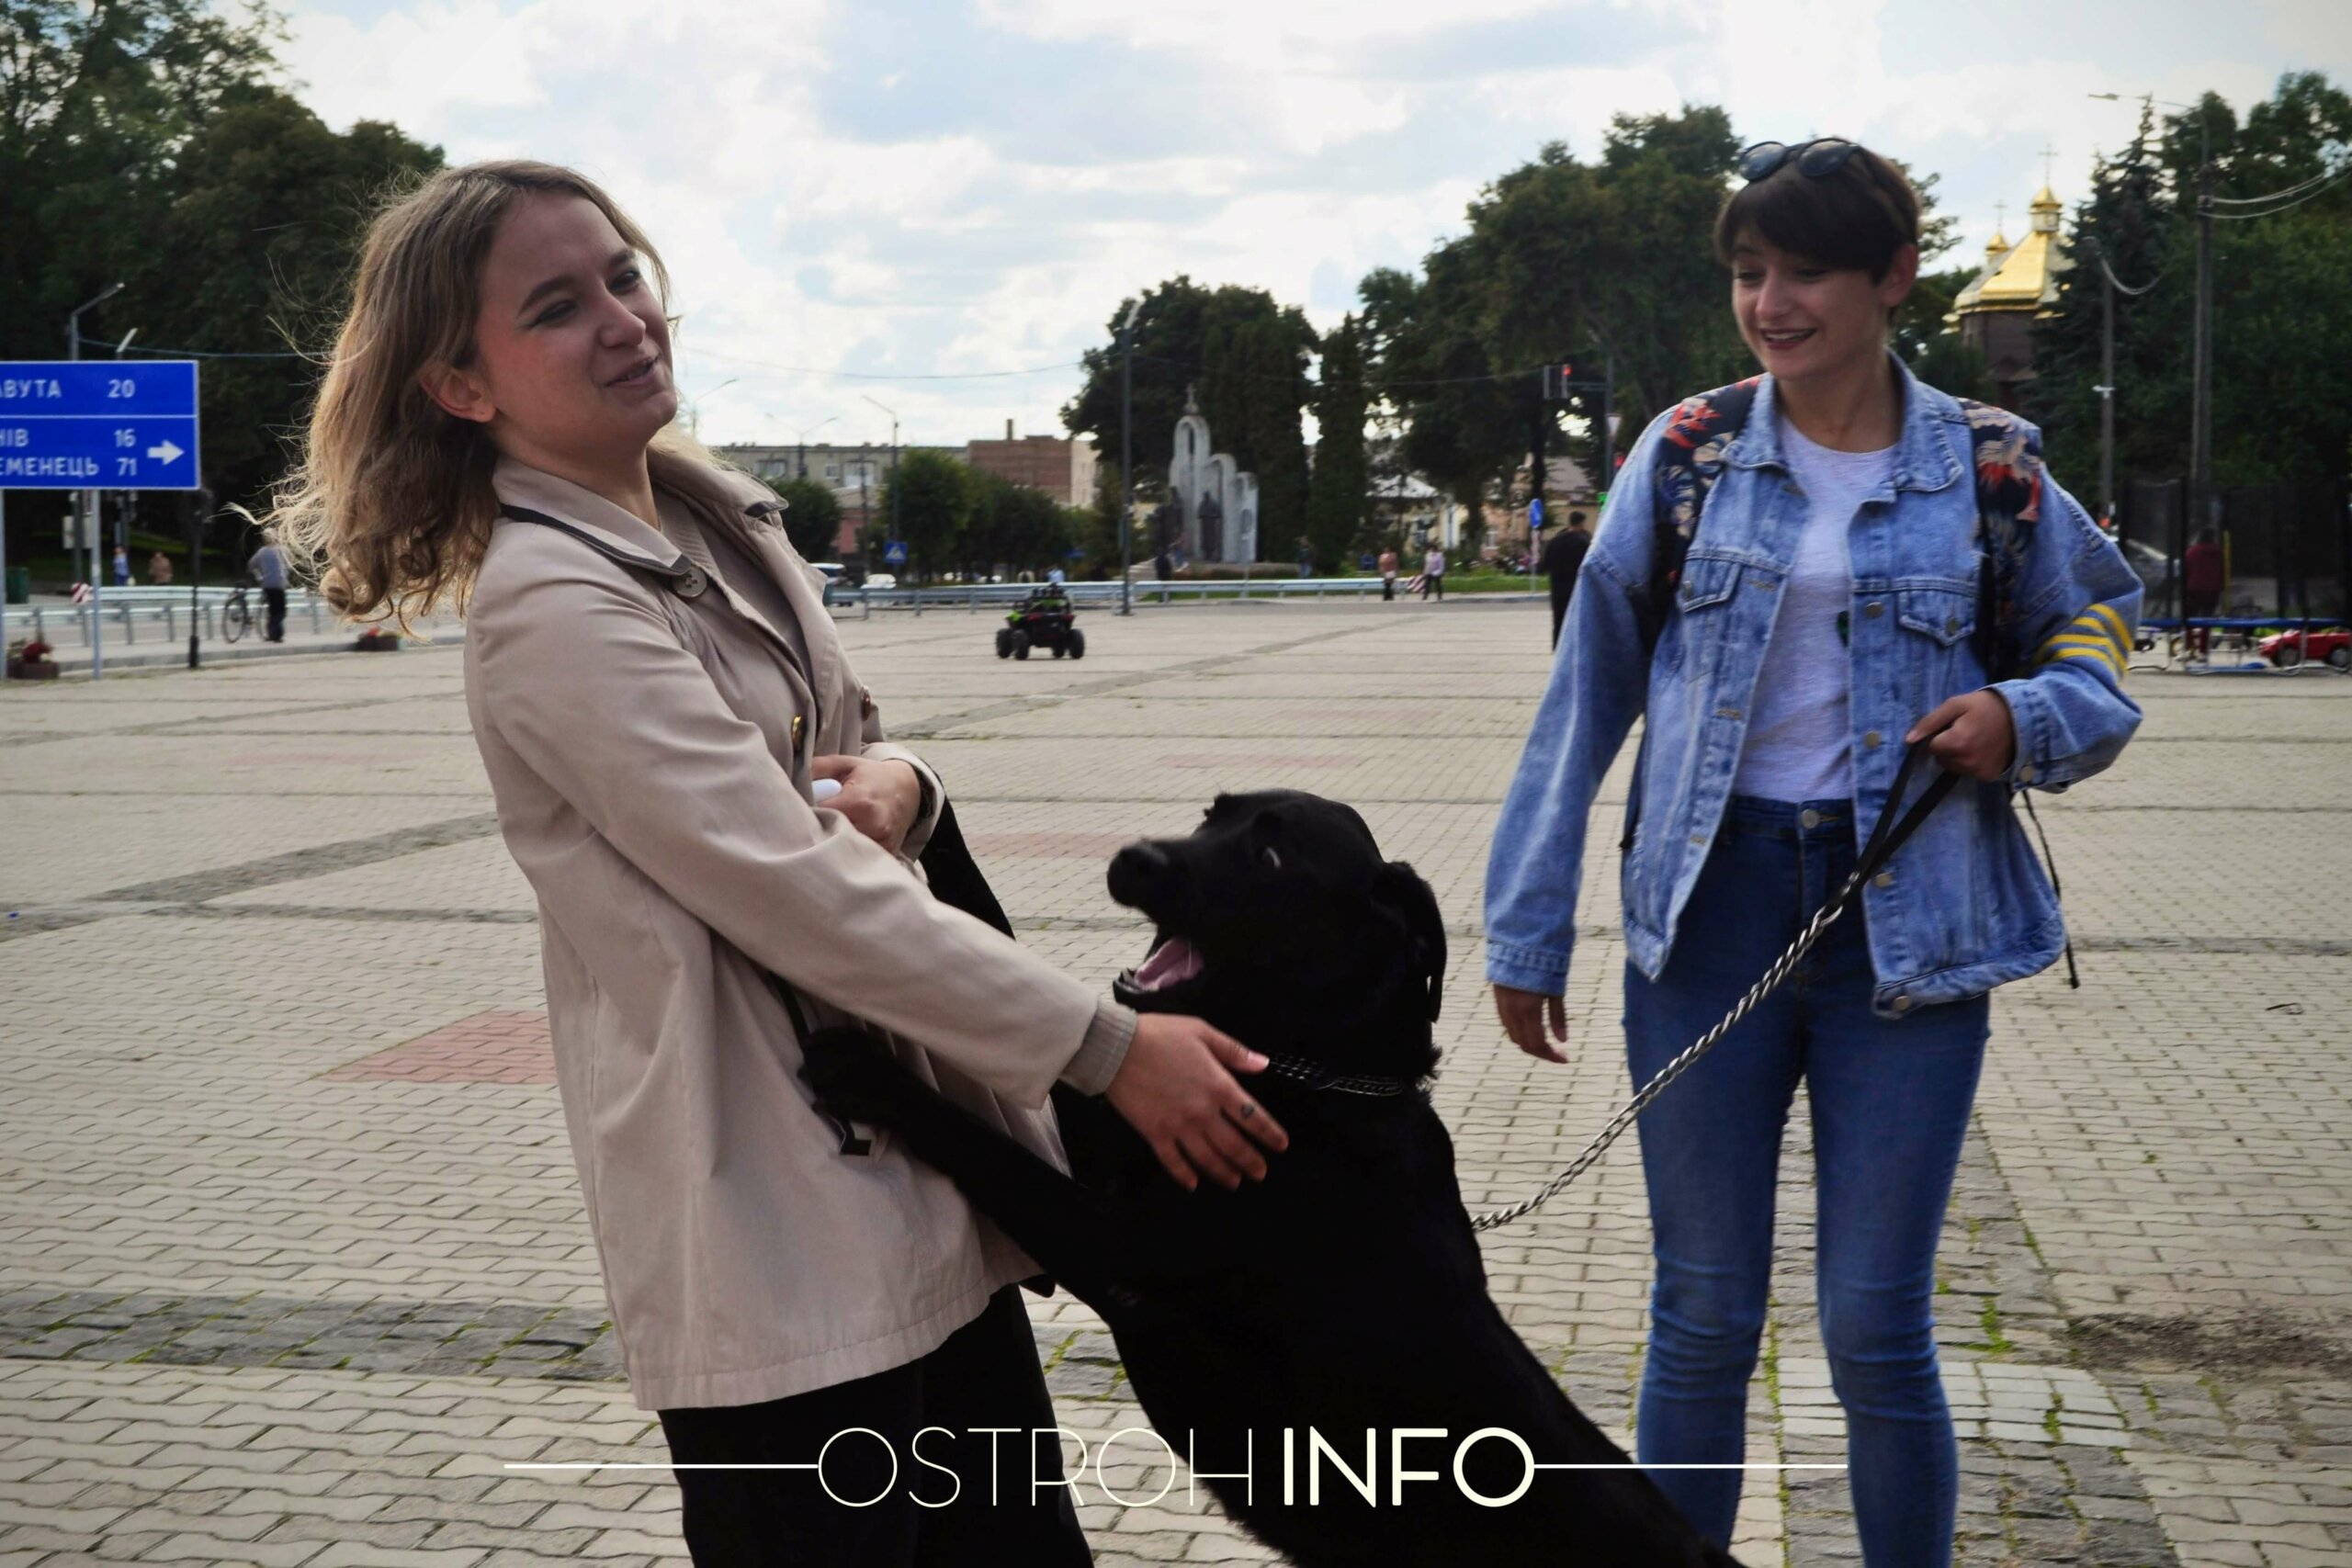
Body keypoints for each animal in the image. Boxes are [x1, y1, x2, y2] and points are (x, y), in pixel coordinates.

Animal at [804, 791, 1741, 1565]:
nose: (1133, 857)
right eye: (1209, 814)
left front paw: (868, 1073)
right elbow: (1006, 955)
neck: (1308, 1081)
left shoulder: (1119, 1250)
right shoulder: (1134, 1110)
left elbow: (986, 1145)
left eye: (1272, 856)